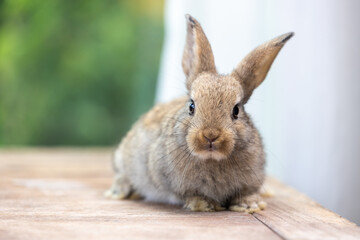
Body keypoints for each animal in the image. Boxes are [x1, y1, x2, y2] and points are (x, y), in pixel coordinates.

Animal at [105, 14, 292, 212]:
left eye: (236, 110)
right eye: (191, 106)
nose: (210, 135)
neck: (212, 159)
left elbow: (246, 193)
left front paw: (251, 205)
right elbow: (190, 195)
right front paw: (207, 204)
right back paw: (120, 191)